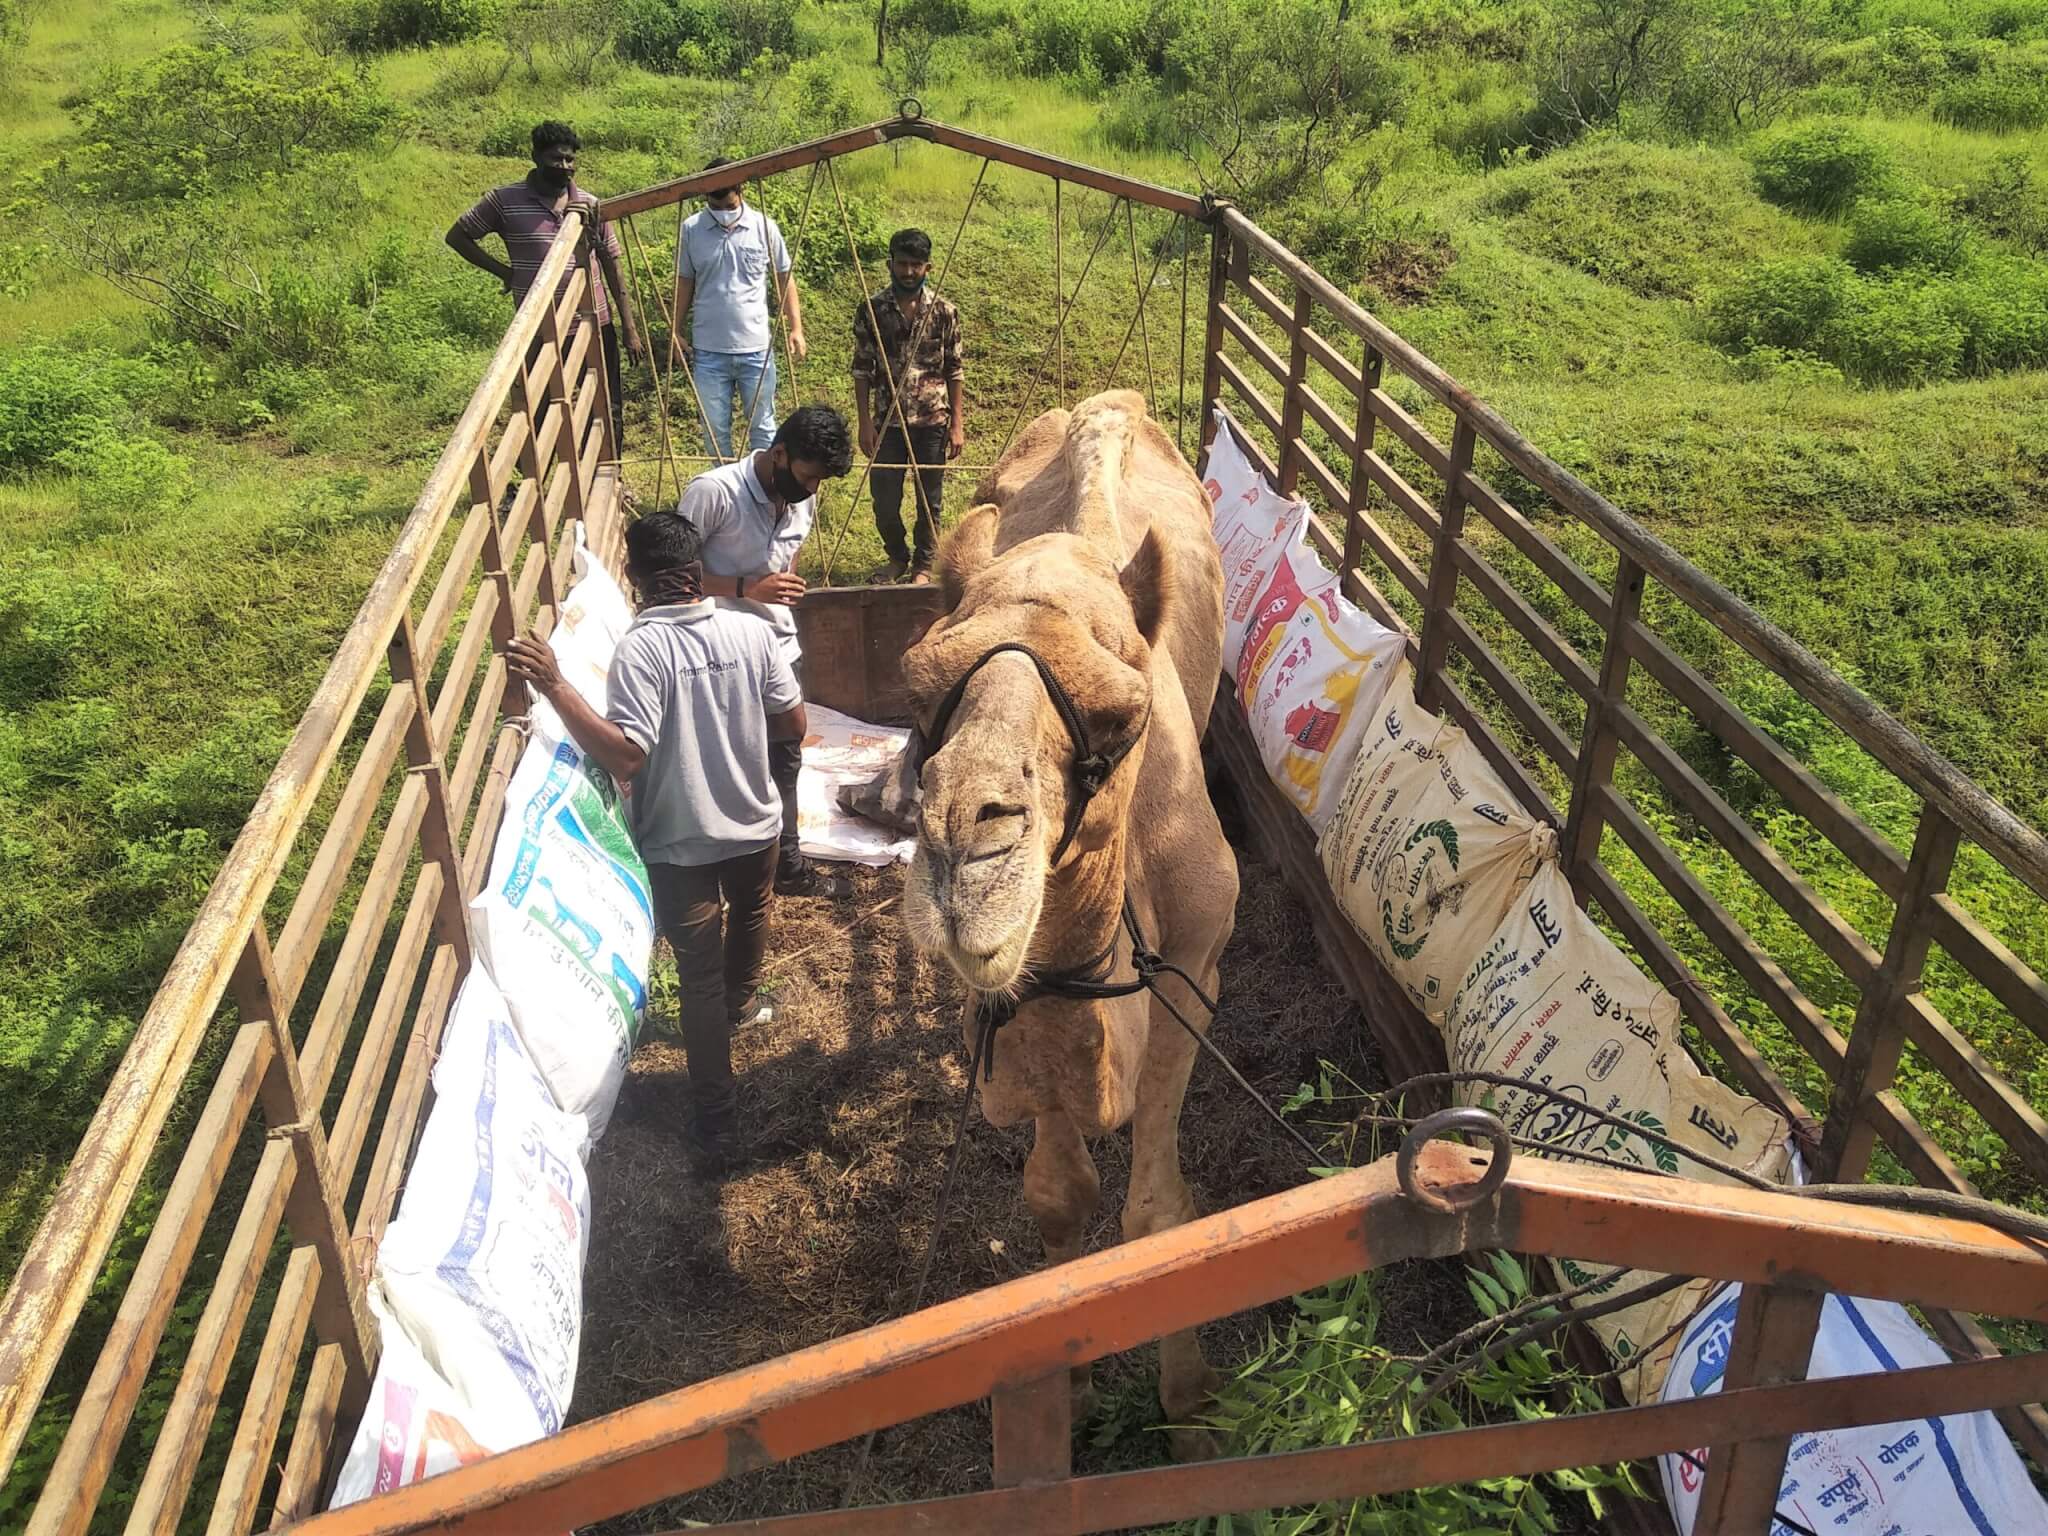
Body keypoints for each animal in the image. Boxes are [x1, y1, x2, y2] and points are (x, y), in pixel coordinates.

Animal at [905, 391, 1236, 1449]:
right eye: (917, 689)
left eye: (1122, 717)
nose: (964, 840)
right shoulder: (1022, 1012)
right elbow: (1058, 1198)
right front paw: (1075, 1384)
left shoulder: (1197, 966)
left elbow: (1154, 1215)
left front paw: (1189, 1401)